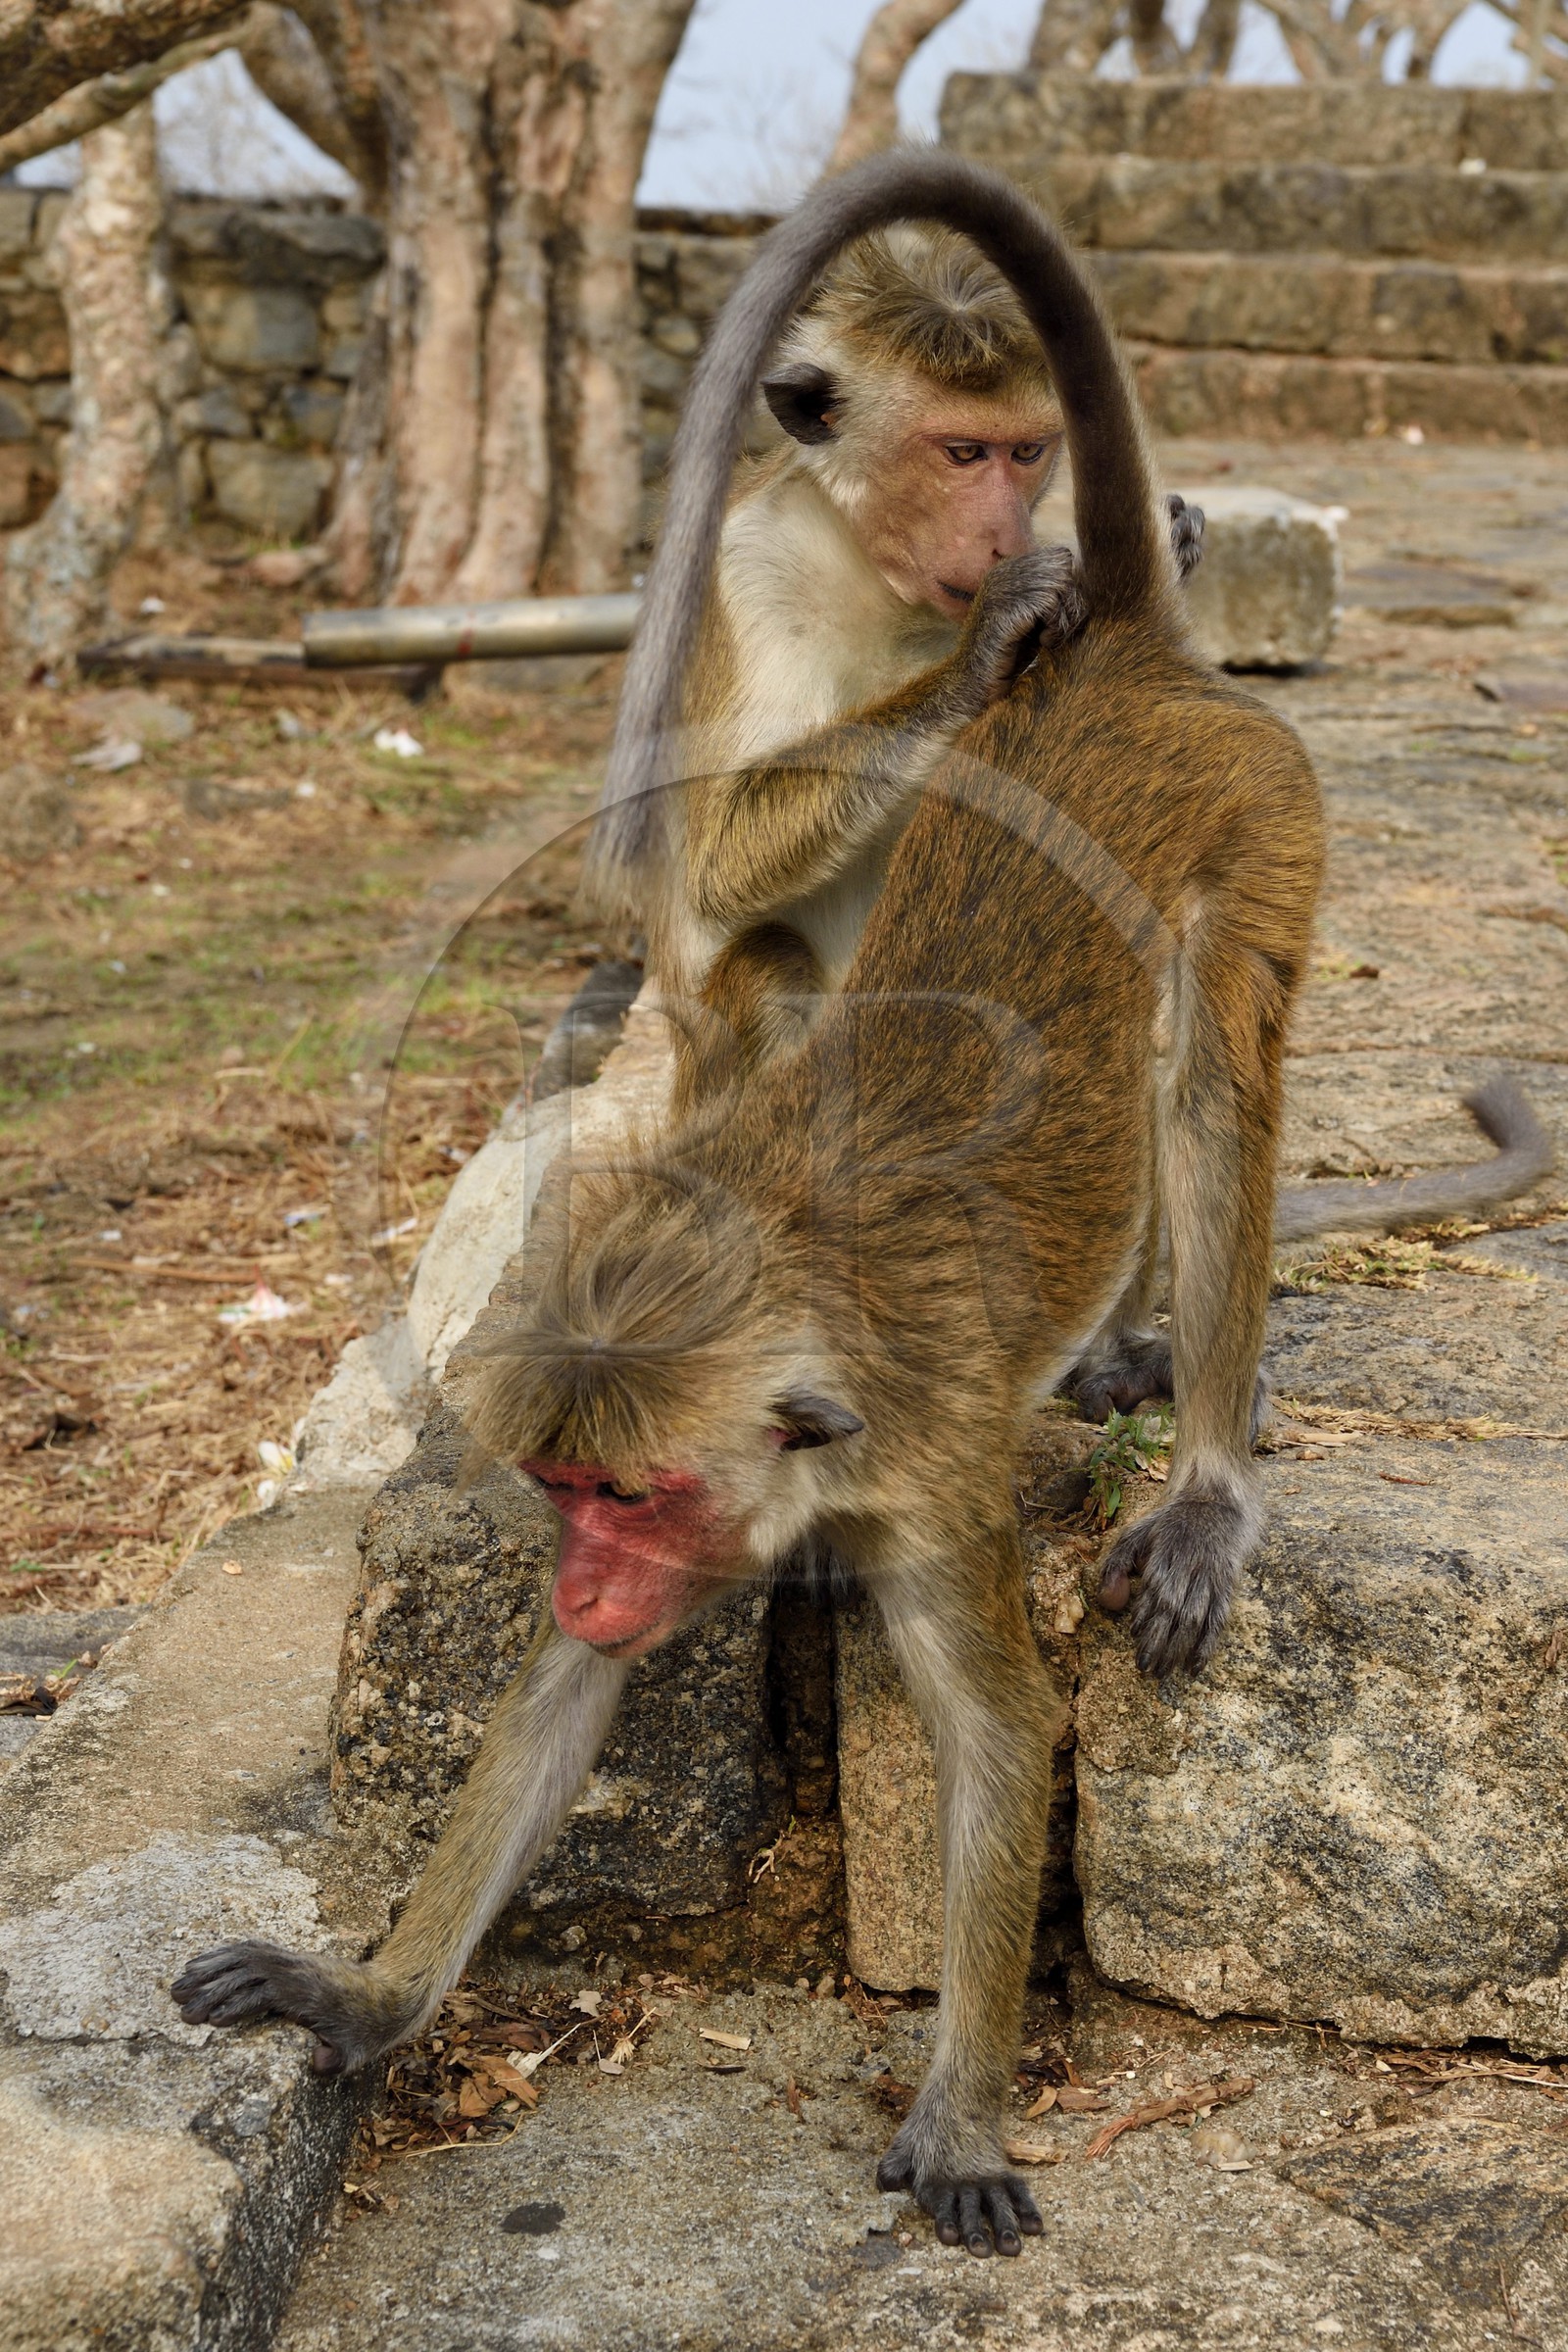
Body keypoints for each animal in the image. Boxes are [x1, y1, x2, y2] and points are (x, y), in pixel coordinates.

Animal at [173, 153, 1555, 2261]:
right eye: (573, 1500)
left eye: (628, 1499)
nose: (578, 1567)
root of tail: (1135, 661)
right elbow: (568, 1701)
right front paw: (374, 1996)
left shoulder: (923, 1466)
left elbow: (1001, 1738)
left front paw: (962, 2109)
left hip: (1266, 804)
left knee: (1210, 1057)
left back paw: (1206, 1456)